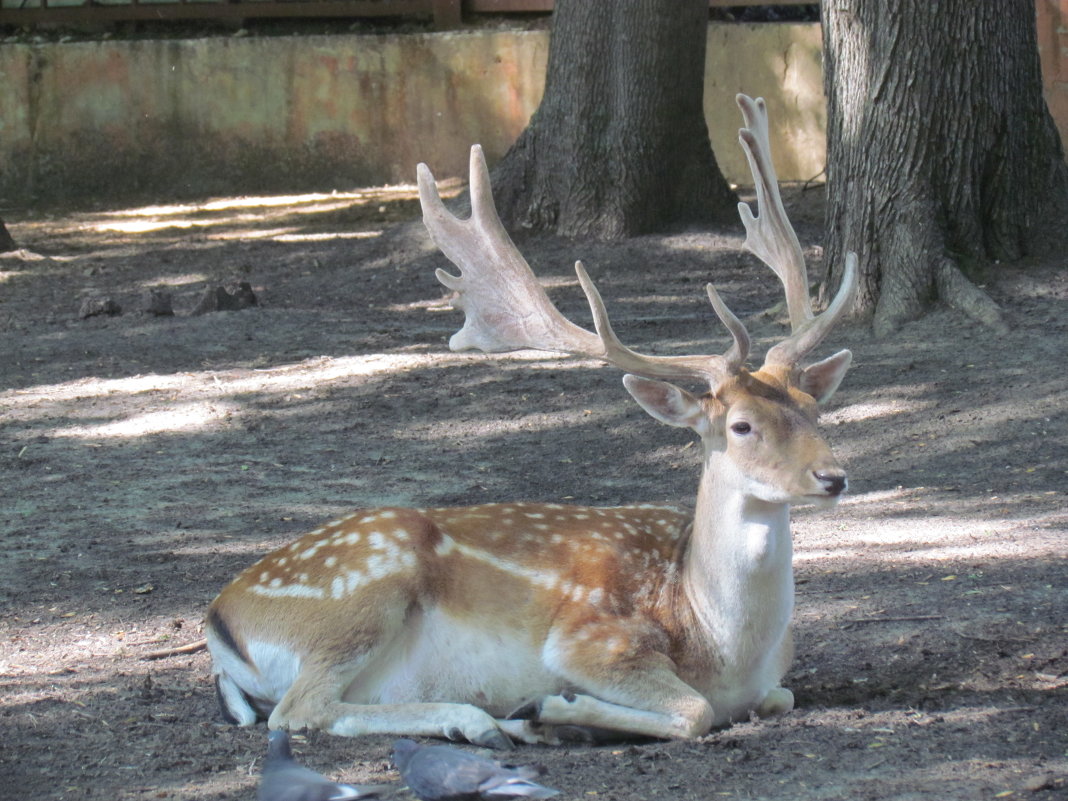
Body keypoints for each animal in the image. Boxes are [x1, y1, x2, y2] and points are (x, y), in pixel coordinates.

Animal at [206, 97, 858, 751]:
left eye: (813, 408)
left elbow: (780, 696)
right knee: (301, 708)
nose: (833, 477)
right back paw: (488, 719)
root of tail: (218, 621)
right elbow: (694, 711)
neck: (721, 644)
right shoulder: (590, 640)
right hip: (361, 592)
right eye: (741, 426)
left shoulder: (770, 683)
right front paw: (554, 707)